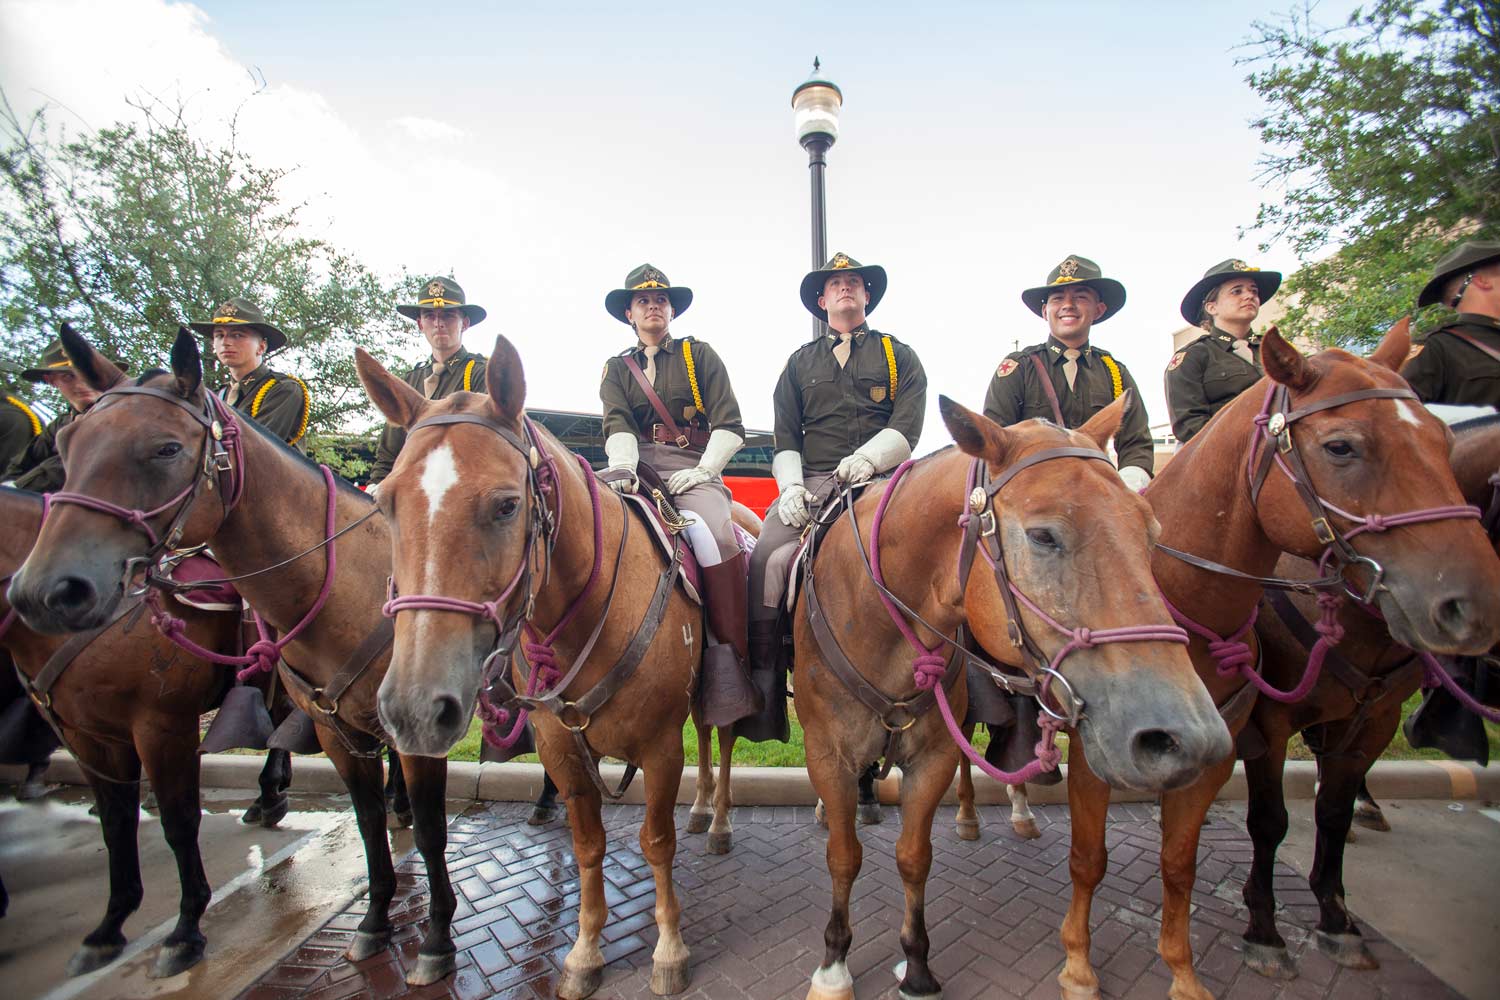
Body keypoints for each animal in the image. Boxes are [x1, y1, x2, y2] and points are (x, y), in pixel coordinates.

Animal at [5, 334, 471, 983]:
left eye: (167, 448)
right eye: (70, 444)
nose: (43, 591)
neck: (349, 580)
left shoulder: (158, 724)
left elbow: (429, 830)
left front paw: (436, 937)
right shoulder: (329, 730)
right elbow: (365, 823)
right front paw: (376, 919)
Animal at [357, 338, 756, 1000]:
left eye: (506, 505)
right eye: (385, 503)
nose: (413, 707)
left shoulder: (658, 746)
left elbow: (656, 841)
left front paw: (669, 947)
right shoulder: (561, 750)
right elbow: (589, 845)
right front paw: (585, 950)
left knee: (720, 737)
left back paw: (719, 821)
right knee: (704, 735)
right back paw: (703, 811)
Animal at [798, 389, 1230, 1000]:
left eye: (1149, 529)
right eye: (1043, 535)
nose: (1190, 735)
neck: (875, 616)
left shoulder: (934, 757)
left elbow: (914, 857)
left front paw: (917, 963)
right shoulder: (827, 756)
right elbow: (843, 857)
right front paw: (834, 963)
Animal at [1236, 413, 1500, 977]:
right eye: (1341, 450)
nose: (1474, 612)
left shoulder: (1378, 718)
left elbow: (1331, 813)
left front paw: (1336, 918)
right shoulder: (1269, 721)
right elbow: (1268, 820)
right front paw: (1264, 929)